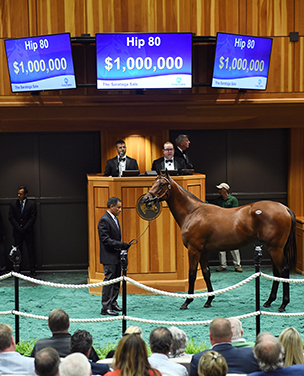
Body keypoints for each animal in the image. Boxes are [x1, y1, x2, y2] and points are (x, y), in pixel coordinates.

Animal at [144, 171, 296, 312]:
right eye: (152, 182)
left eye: (162, 184)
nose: (146, 198)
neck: (193, 212)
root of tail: (285, 208)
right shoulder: (203, 251)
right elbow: (206, 273)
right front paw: (209, 300)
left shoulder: (194, 250)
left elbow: (192, 274)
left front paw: (187, 302)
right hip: (273, 248)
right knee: (276, 272)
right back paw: (269, 301)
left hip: (275, 248)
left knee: (283, 270)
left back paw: (283, 304)